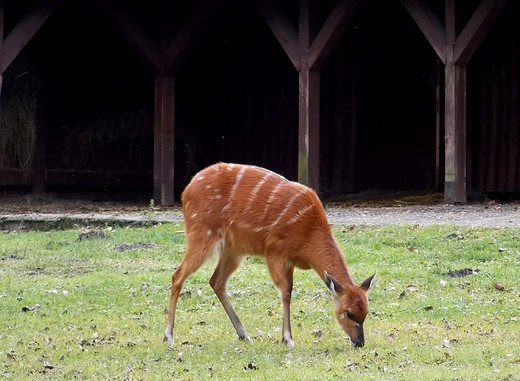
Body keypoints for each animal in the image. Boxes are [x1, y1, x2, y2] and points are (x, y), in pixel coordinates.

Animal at [165, 162, 376, 346]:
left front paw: (285, 337)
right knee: (178, 275)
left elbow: (289, 290)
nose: (359, 342)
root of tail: (186, 191)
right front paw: (288, 339)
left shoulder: (290, 261)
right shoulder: (274, 252)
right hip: (202, 235)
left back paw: (244, 335)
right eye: (349, 313)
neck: (309, 234)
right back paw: (169, 336)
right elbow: (285, 292)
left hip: (233, 250)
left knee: (216, 280)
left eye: (366, 312)